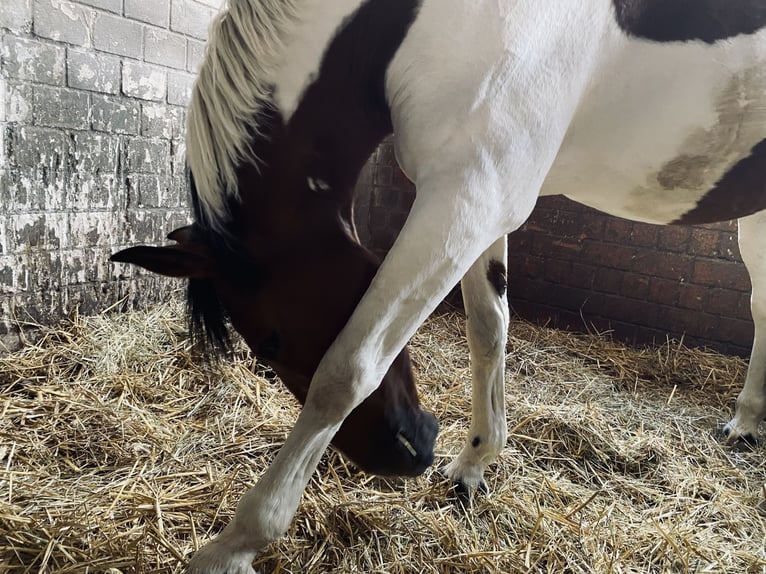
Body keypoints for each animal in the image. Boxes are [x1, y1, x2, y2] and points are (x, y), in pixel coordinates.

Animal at [111, 1, 766, 572]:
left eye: (270, 342)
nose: (409, 455)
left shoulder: (467, 195)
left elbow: (348, 369)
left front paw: (237, 544)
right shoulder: (481, 204)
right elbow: (488, 331)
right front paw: (476, 463)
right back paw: (746, 422)